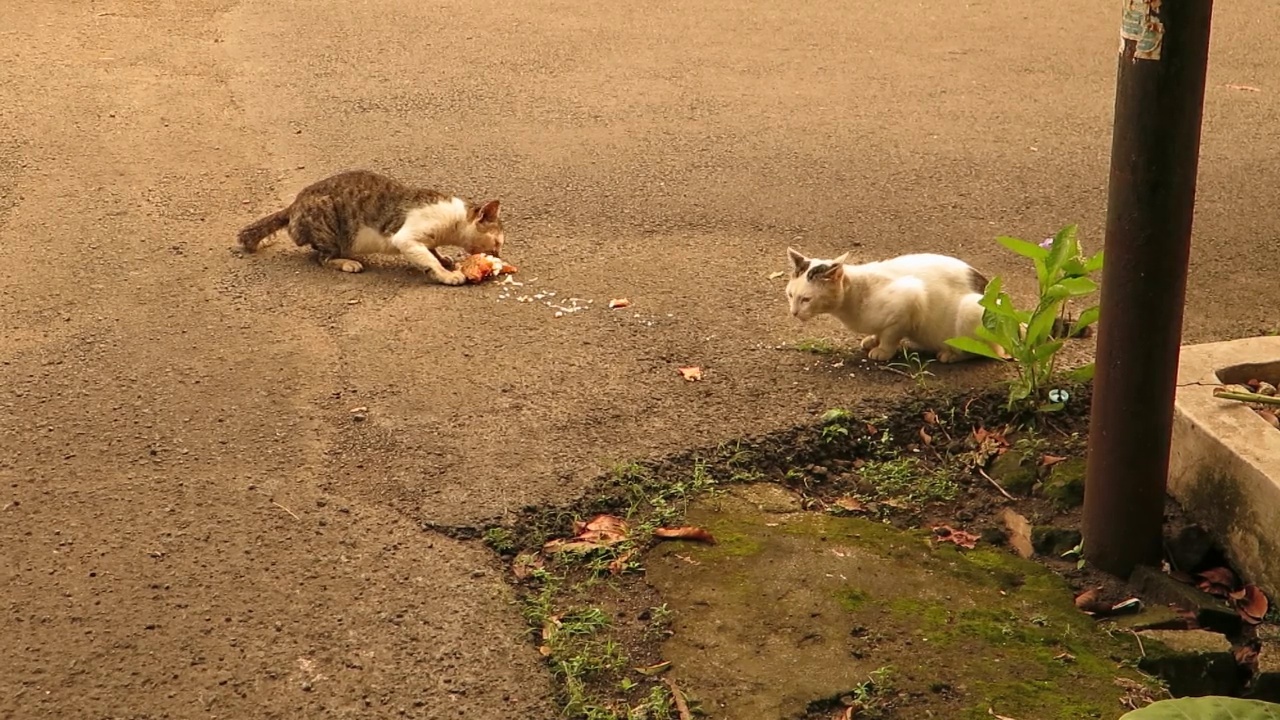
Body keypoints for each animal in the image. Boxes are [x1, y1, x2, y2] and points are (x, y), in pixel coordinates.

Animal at [238, 167, 501, 283]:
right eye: (498, 242)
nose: (498, 256)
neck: (453, 224)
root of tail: (294, 204)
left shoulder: (426, 239)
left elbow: (432, 252)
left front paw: (444, 258)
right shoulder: (407, 238)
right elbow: (428, 260)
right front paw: (446, 274)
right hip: (328, 222)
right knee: (322, 258)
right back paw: (347, 263)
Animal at [778, 245, 998, 361]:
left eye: (806, 299)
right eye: (790, 295)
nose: (793, 312)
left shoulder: (910, 300)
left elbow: (891, 335)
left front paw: (883, 351)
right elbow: (879, 331)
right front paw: (872, 340)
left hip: (970, 311)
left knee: (986, 351)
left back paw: (950, 355)